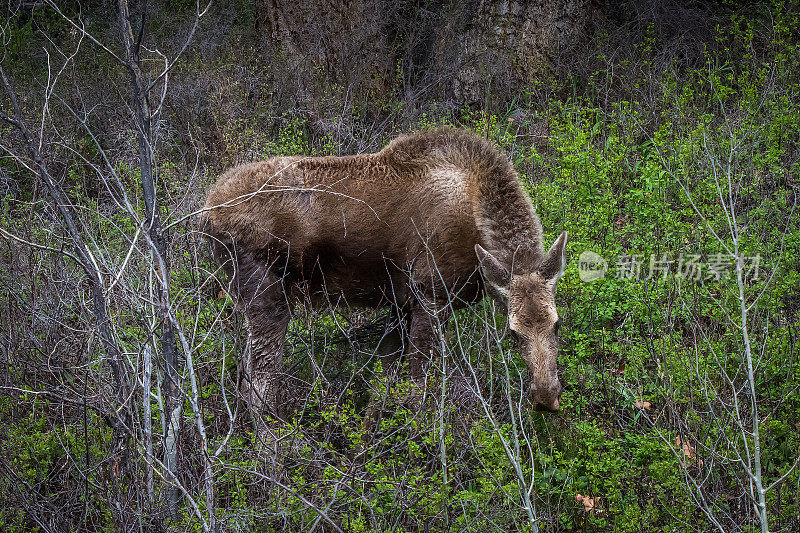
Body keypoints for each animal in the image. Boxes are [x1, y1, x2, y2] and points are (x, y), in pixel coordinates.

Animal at [206, 127, 568, 418]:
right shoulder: (430, 295)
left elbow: (384, 386)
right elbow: (420, 388)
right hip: (267, 295)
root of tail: (207, 212)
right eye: (512, 333)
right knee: (259, 386)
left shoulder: (400, 303)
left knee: (243, 376)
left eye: (557, 325)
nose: (546, 397)